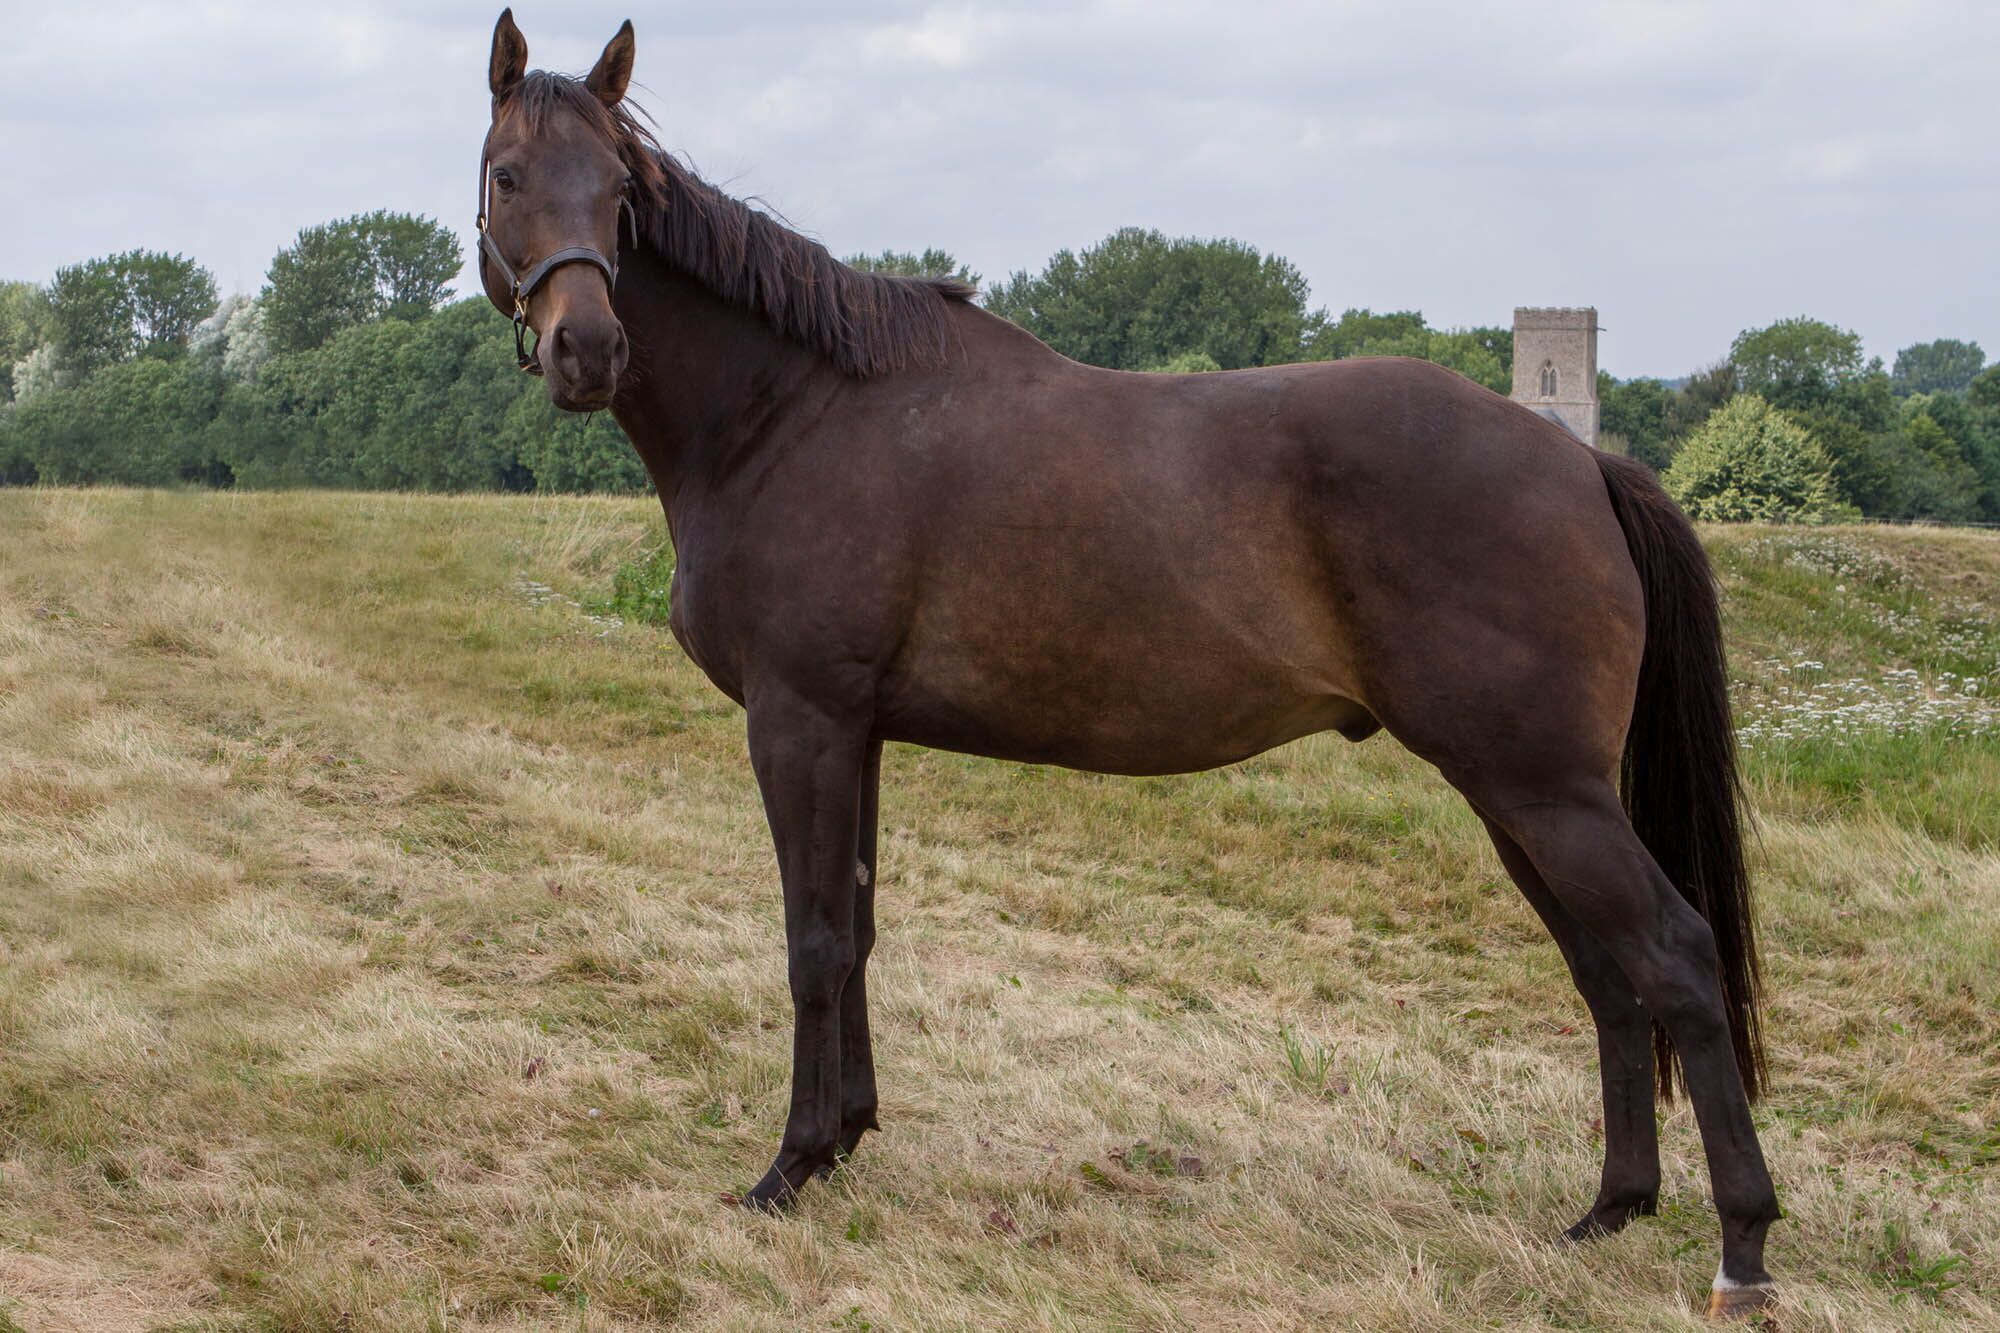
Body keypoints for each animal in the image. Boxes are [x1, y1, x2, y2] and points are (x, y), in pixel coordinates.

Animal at [480, 13, 1784, 1320]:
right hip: (1518, 796)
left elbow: (810, 943)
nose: (586, 348)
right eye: (507, 176)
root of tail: (1579, 464)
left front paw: (789, 1166)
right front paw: (847, 1135)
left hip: (1541, 790)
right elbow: (855, 930)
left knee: (1672, 958)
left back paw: (1741, 1247)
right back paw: (1608, 1209)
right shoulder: (855, 731)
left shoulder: (798, 721)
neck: (791, 411)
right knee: (1606, 974)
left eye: (619, 190)